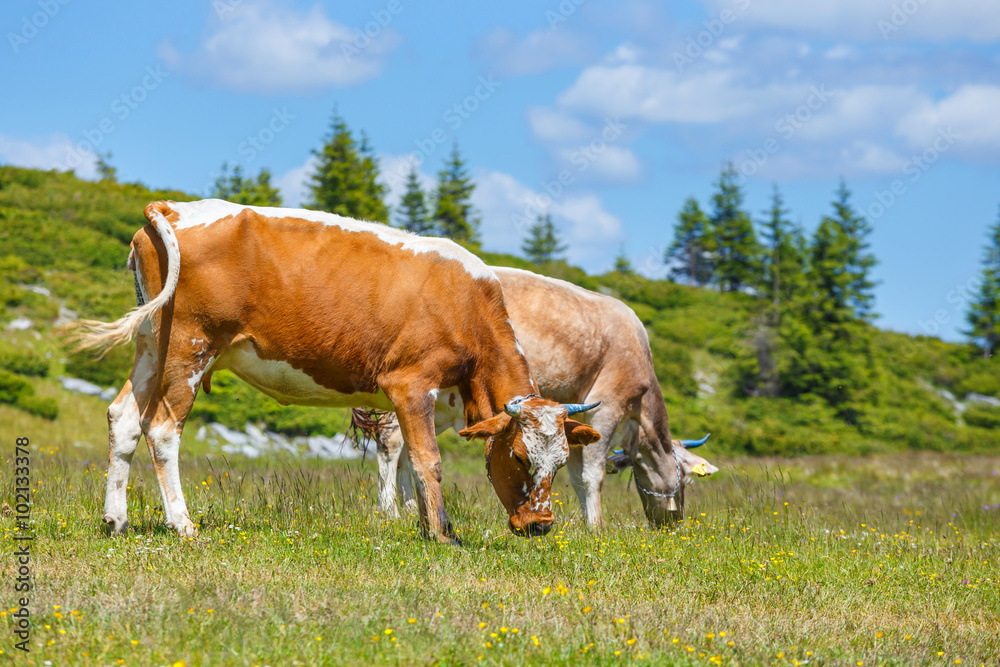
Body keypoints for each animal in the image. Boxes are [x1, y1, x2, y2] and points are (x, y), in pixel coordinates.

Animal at [74, 198, 600, 544]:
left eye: (560, 463)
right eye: (519, 457)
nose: (540, 526)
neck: (467, 303)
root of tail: (174, 207)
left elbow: (409, 461)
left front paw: (423, 524)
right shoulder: (411, 383)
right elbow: (427, 459)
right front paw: (442, 534)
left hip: (152, 343)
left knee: (123, 418)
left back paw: (115, 520)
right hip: (191, 345)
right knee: (164, 428)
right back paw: (182, 524)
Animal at [356, 266, 716, 528]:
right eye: (686, 479)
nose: (673, 521)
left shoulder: (573, 419)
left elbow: (575, 472)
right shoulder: (607, 405)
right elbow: (593, 474)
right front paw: (597, 527)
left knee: (408, 448)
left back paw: (410, 508)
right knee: (391, 442)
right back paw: (390, 512)